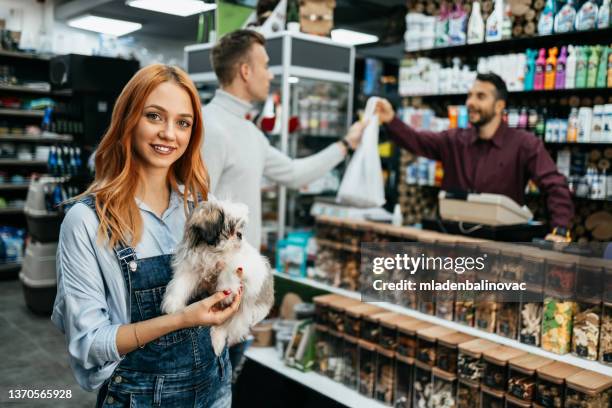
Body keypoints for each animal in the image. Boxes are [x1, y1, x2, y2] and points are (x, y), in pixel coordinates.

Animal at [161, 199, 274, 356]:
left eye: (240, 228)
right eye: (230, 228)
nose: (239, 235)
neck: (212, 252)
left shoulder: (238, 264)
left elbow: (228, 270)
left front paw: (226, 291)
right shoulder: (191, 269)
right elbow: (180, 284)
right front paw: (173, 304)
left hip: (242, 313)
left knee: (225, 325)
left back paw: (217, 340)